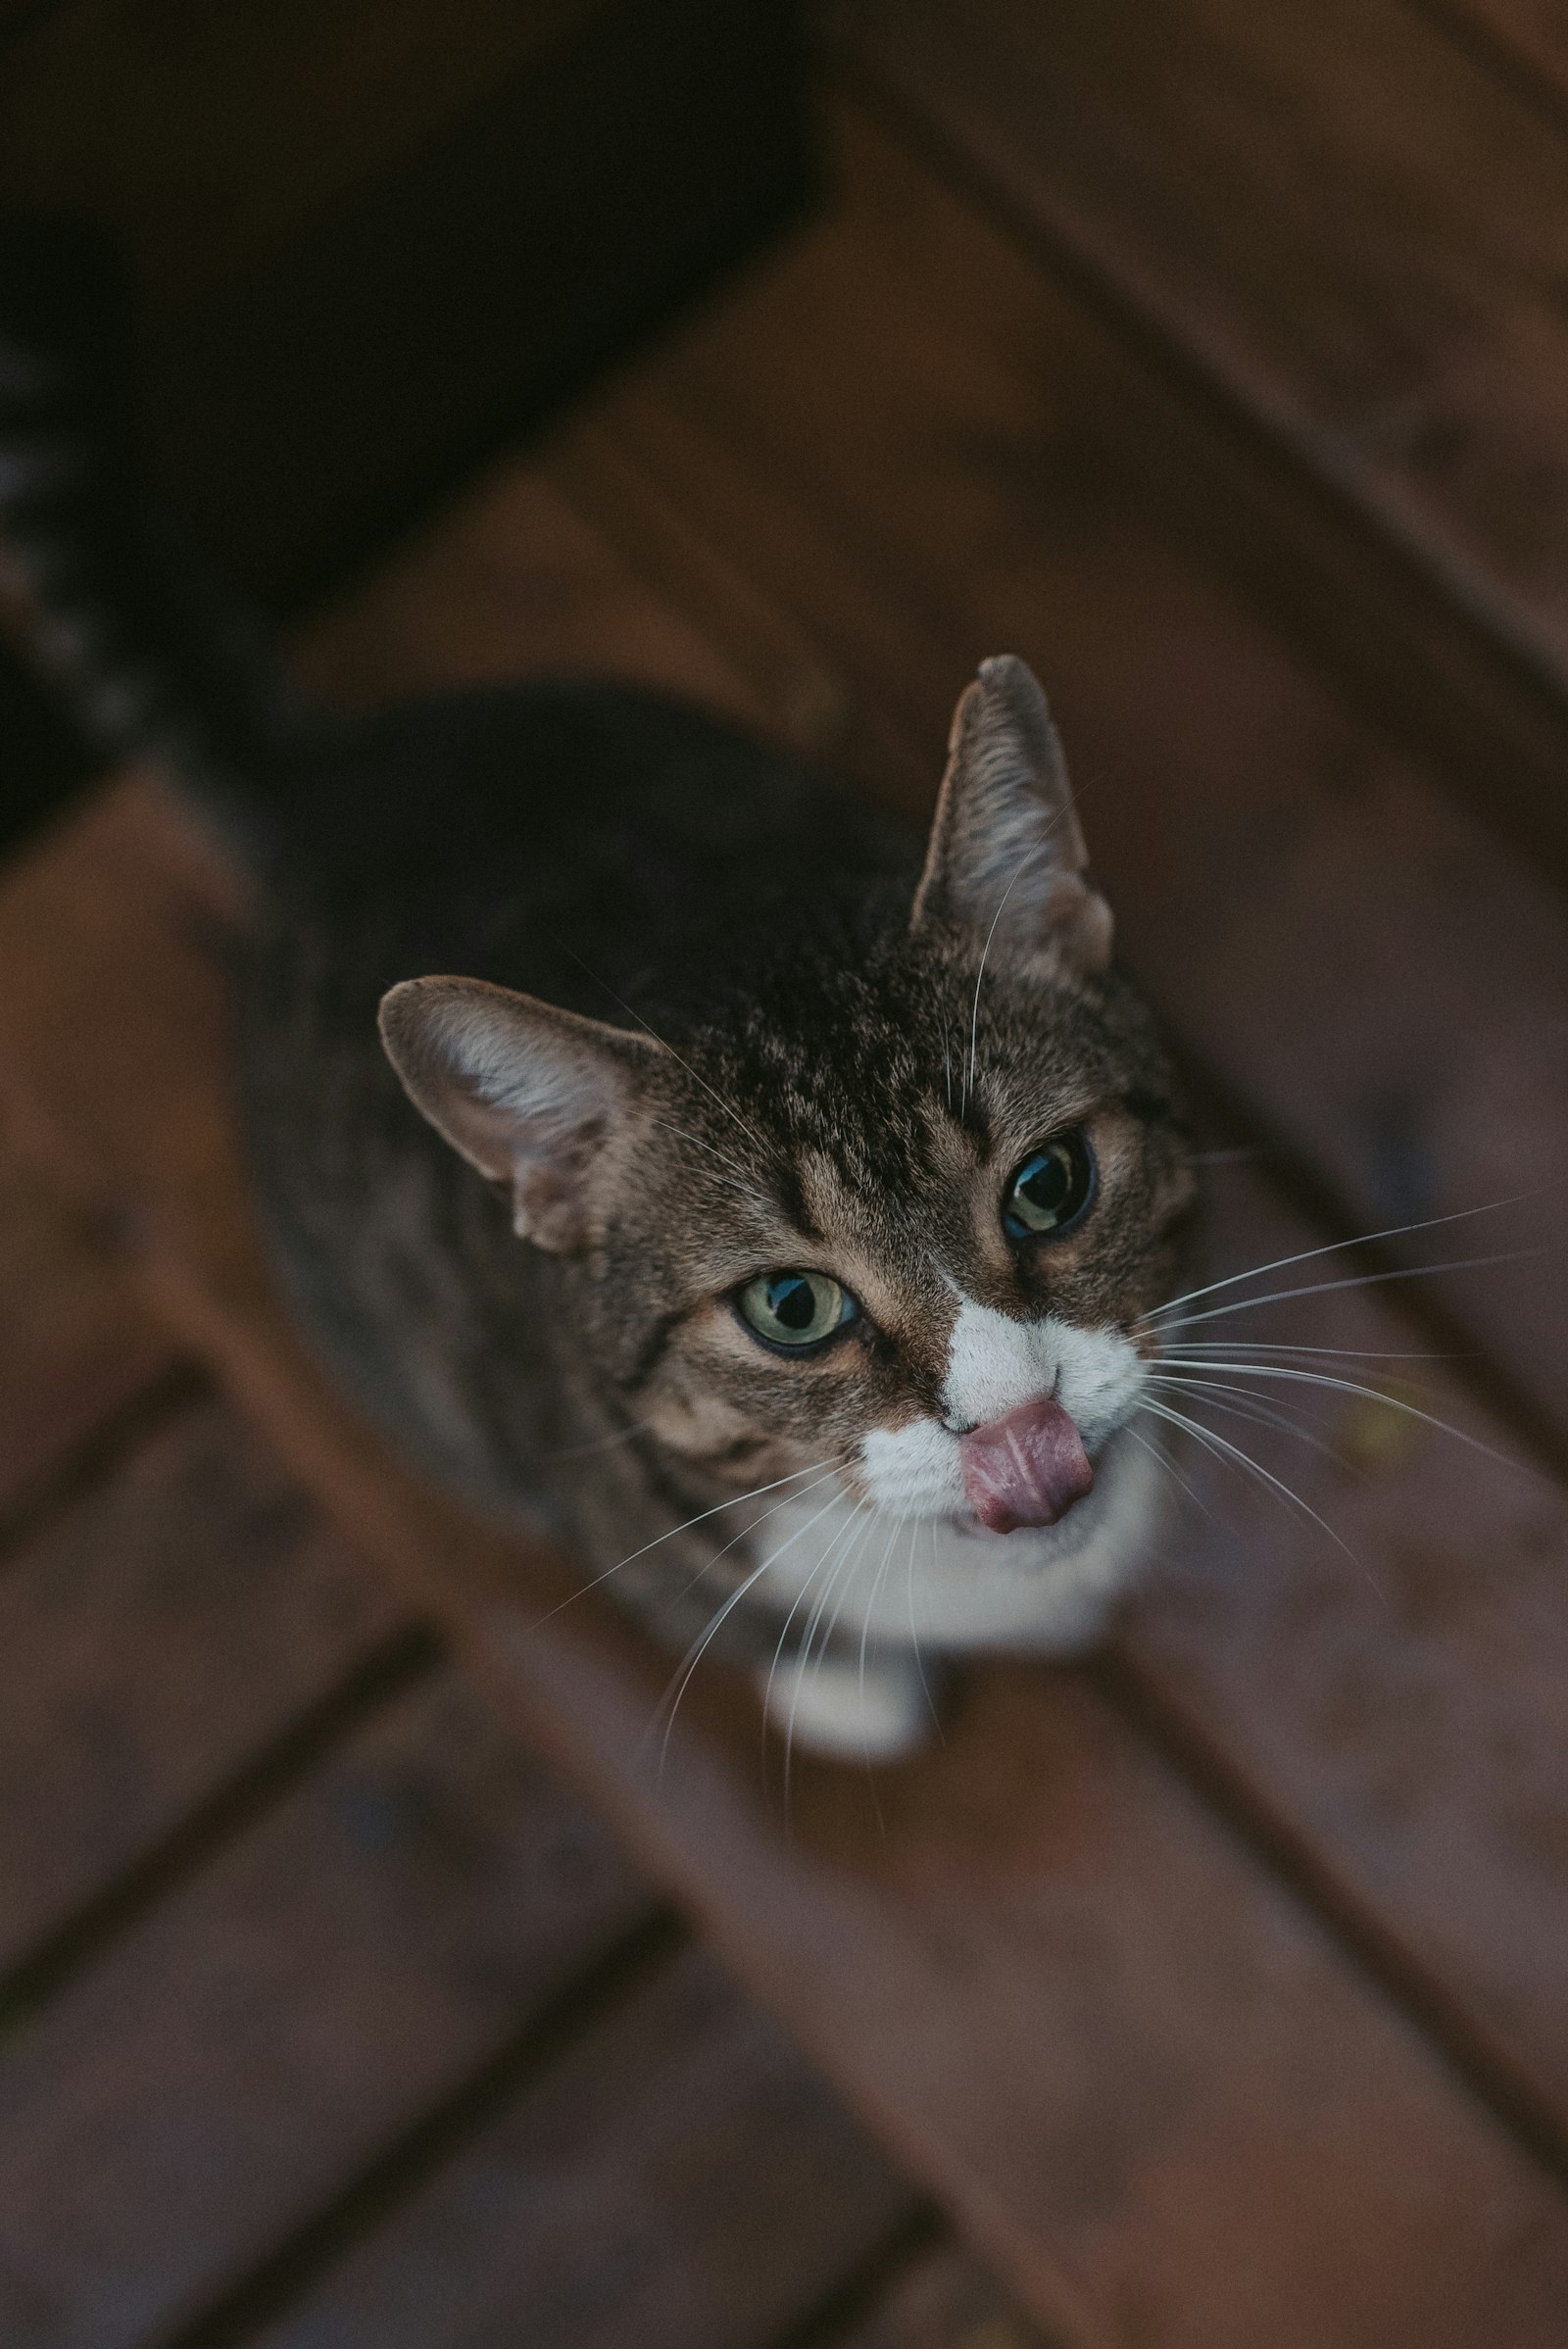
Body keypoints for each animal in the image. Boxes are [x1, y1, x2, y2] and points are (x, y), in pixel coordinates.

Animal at [0, 223, 1192, 1766]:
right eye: (791, 1309)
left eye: (1050, 1185)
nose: (1016, 1420)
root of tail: (342, 776)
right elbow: (719, 1605)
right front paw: (847, 1686)